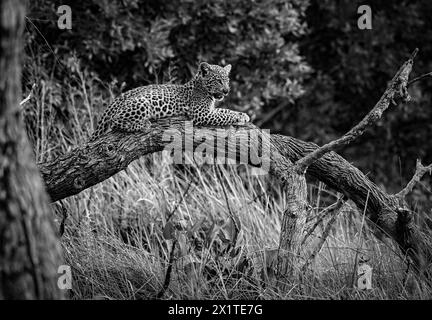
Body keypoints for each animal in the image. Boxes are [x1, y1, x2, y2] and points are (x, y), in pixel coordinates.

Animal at [90, 62, 250, 139]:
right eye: (218, 80)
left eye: (227, 81)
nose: (226, 91)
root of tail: (119, 99)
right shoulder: (201, 114)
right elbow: (224, 115)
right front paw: (239, 117)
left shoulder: (210, 110)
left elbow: (225, 111)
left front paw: (243, 115)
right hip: (142, 103)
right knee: (116, 121)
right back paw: (144, 124)